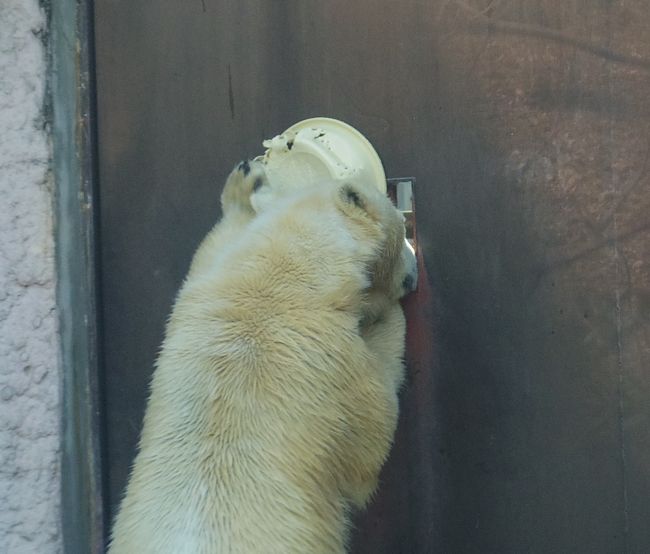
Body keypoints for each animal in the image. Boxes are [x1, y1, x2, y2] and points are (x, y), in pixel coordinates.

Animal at [109, 161, 416, 552]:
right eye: (402, 228)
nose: (414, 272)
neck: (284, 274)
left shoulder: (202, 292)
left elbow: (211, 247)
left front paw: (244, 186)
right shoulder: (330, 363)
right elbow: (369, 444)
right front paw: (390, 319)